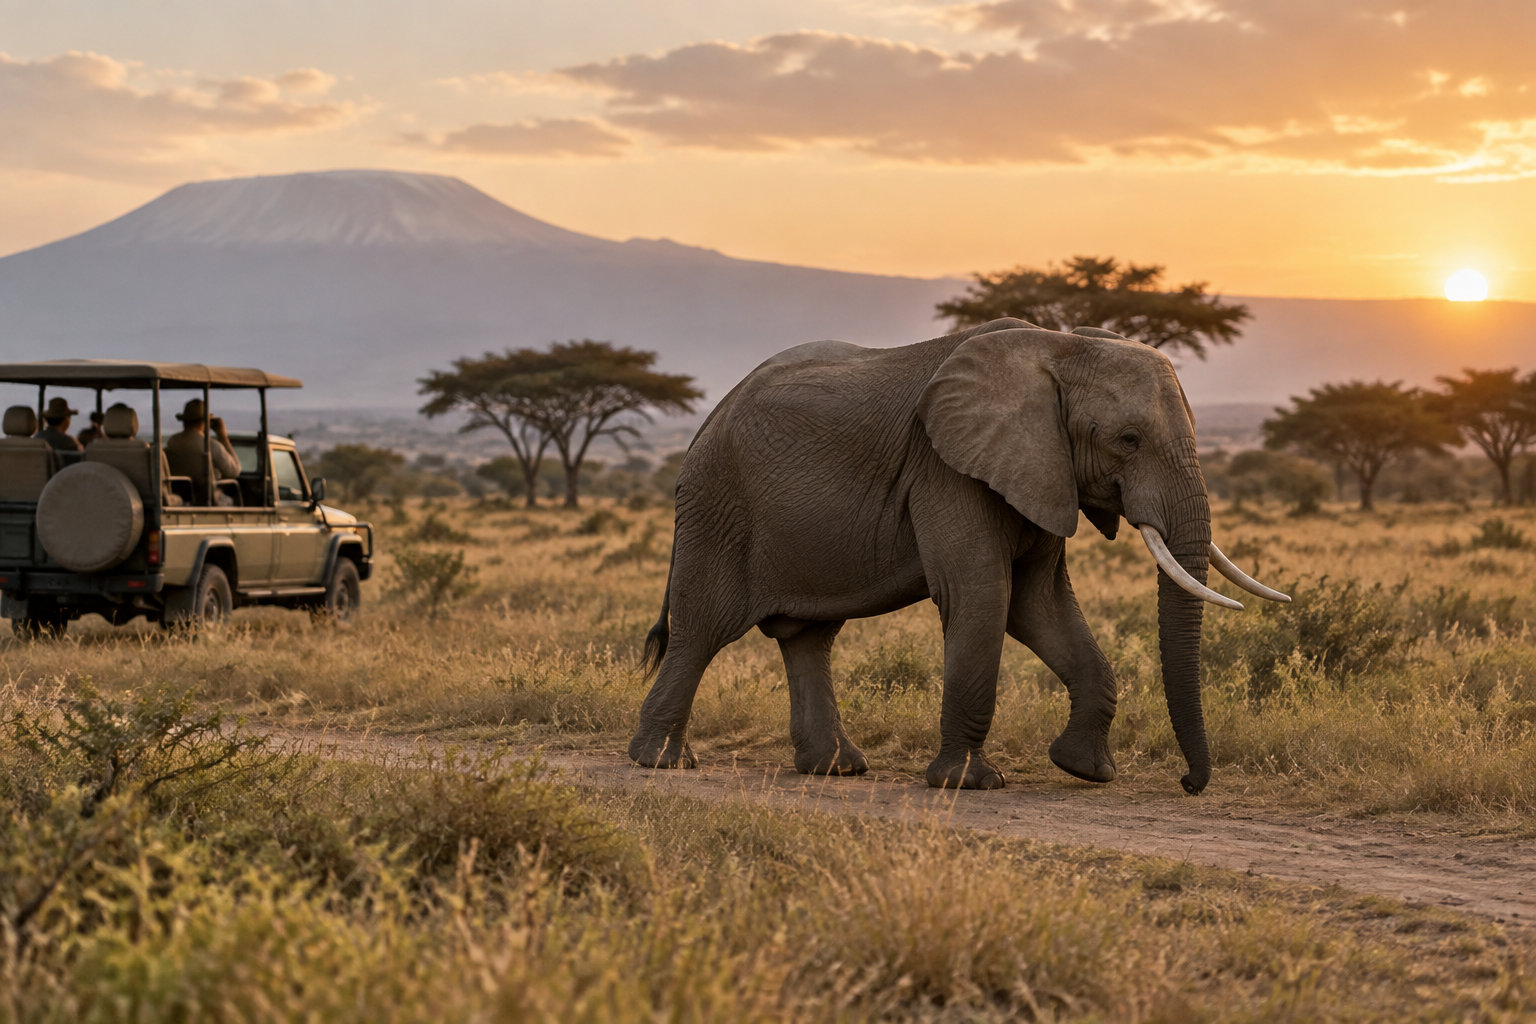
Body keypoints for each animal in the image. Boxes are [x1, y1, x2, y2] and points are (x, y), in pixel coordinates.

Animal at [628, 319, 1289, 793]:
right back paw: (661, 762)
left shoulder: (1039, 471)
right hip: (719, 504)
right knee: (703, 629)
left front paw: (1087, 771)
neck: (1061, 345)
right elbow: (983, 594)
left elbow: (1038, 604)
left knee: (808, 636)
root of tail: (708, 416)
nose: (1189, 782)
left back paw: (836, 769)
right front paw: (971, 784)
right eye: (1128, 440)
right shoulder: (948, 471)